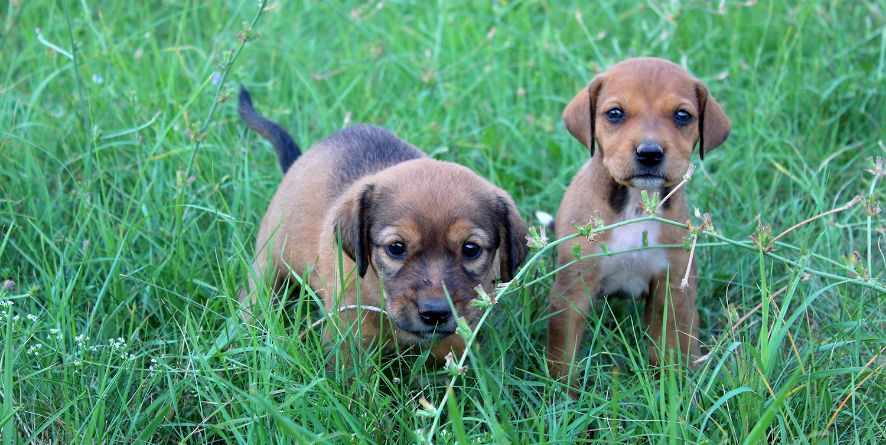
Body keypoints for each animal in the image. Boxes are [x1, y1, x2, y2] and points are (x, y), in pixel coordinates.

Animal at [236, 87, 528, 364]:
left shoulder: (452, 343)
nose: (434, 313)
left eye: (471, 249)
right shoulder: (348, 338)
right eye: (396, 248)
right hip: (268, 265)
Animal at [548, 58, 736, 378]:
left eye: (682, 115)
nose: (649, 153)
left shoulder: (671, 292)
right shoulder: (572, 292)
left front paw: (673, 387)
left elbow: (670, 350)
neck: (636, 205)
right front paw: (560, 391)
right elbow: (563, 357)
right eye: (615, 113)